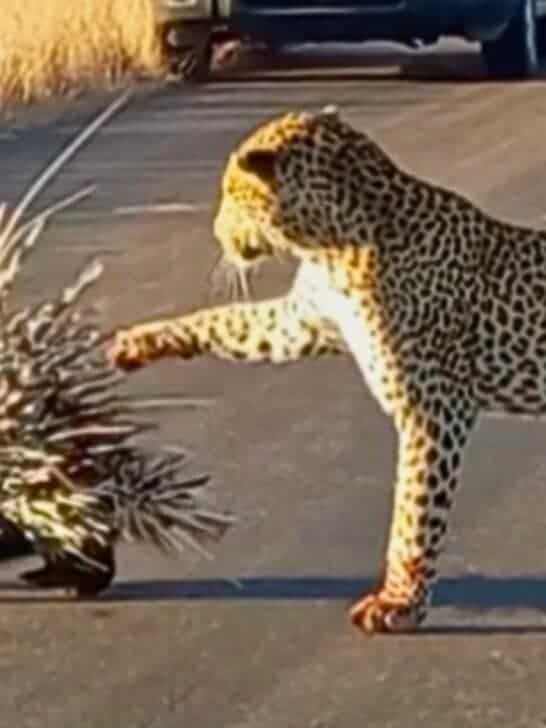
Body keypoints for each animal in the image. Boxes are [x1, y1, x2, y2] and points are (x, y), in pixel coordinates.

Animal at [108, 105, 546, 634]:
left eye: (232, 193)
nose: (217, 231)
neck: (329, 244)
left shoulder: (434, 411)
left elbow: (414, 509)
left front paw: (399, 603)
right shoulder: (299, 321)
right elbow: (224, 322)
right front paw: (138, 342)